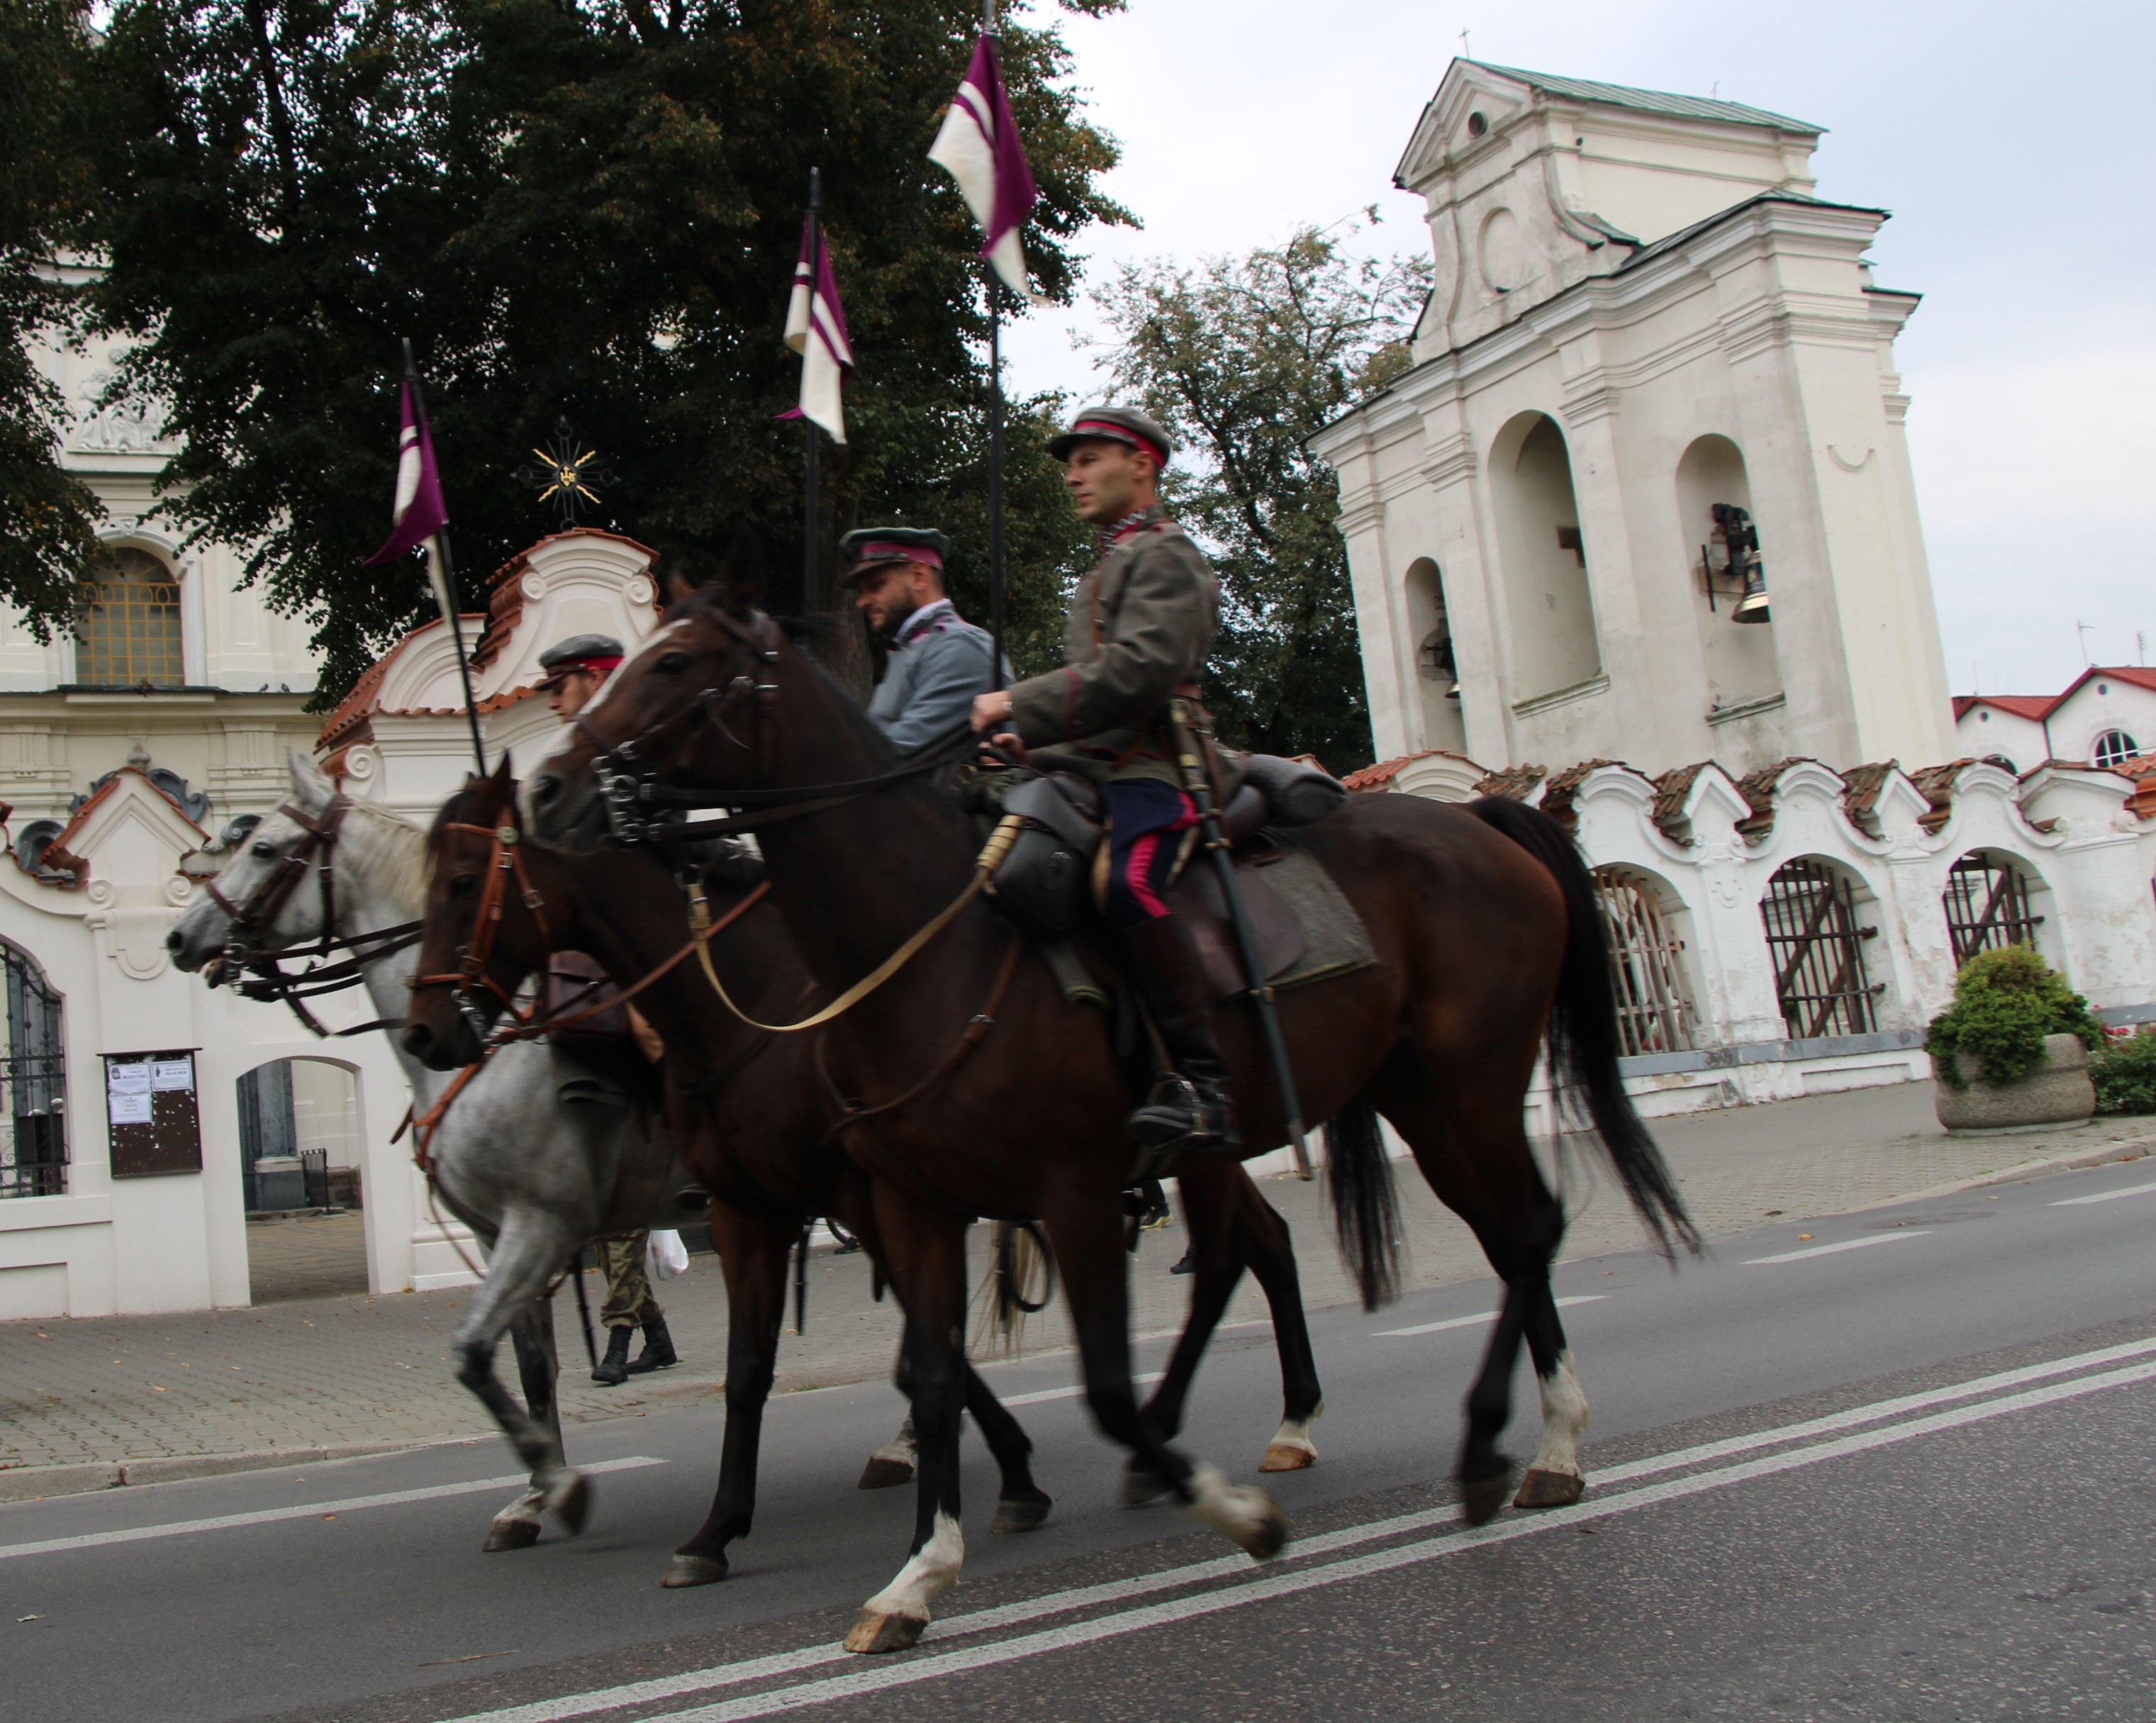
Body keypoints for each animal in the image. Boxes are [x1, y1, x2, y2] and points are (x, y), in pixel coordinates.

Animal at [396, 763, 1319, 1595]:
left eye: (463, 880)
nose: (425, 1030)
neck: (748, 1001)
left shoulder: (853, 1198)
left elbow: (922, 1347)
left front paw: (997, 1478)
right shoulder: (742, 1210)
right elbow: (749, 1371)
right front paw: (690, 1525)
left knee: (1237, 1252)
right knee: (1261, 1241)